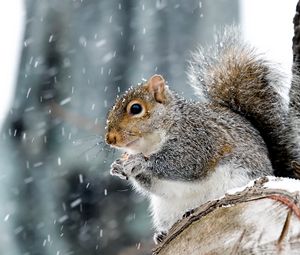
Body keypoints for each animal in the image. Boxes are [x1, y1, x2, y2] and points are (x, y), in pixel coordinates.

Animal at [104, 27, 298, 243]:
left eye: (136, 108)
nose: (109, 139)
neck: (151, 143)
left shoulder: (199, 138)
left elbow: (184, 163)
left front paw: (140, 162)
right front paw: (118, 167)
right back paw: (162, 234)